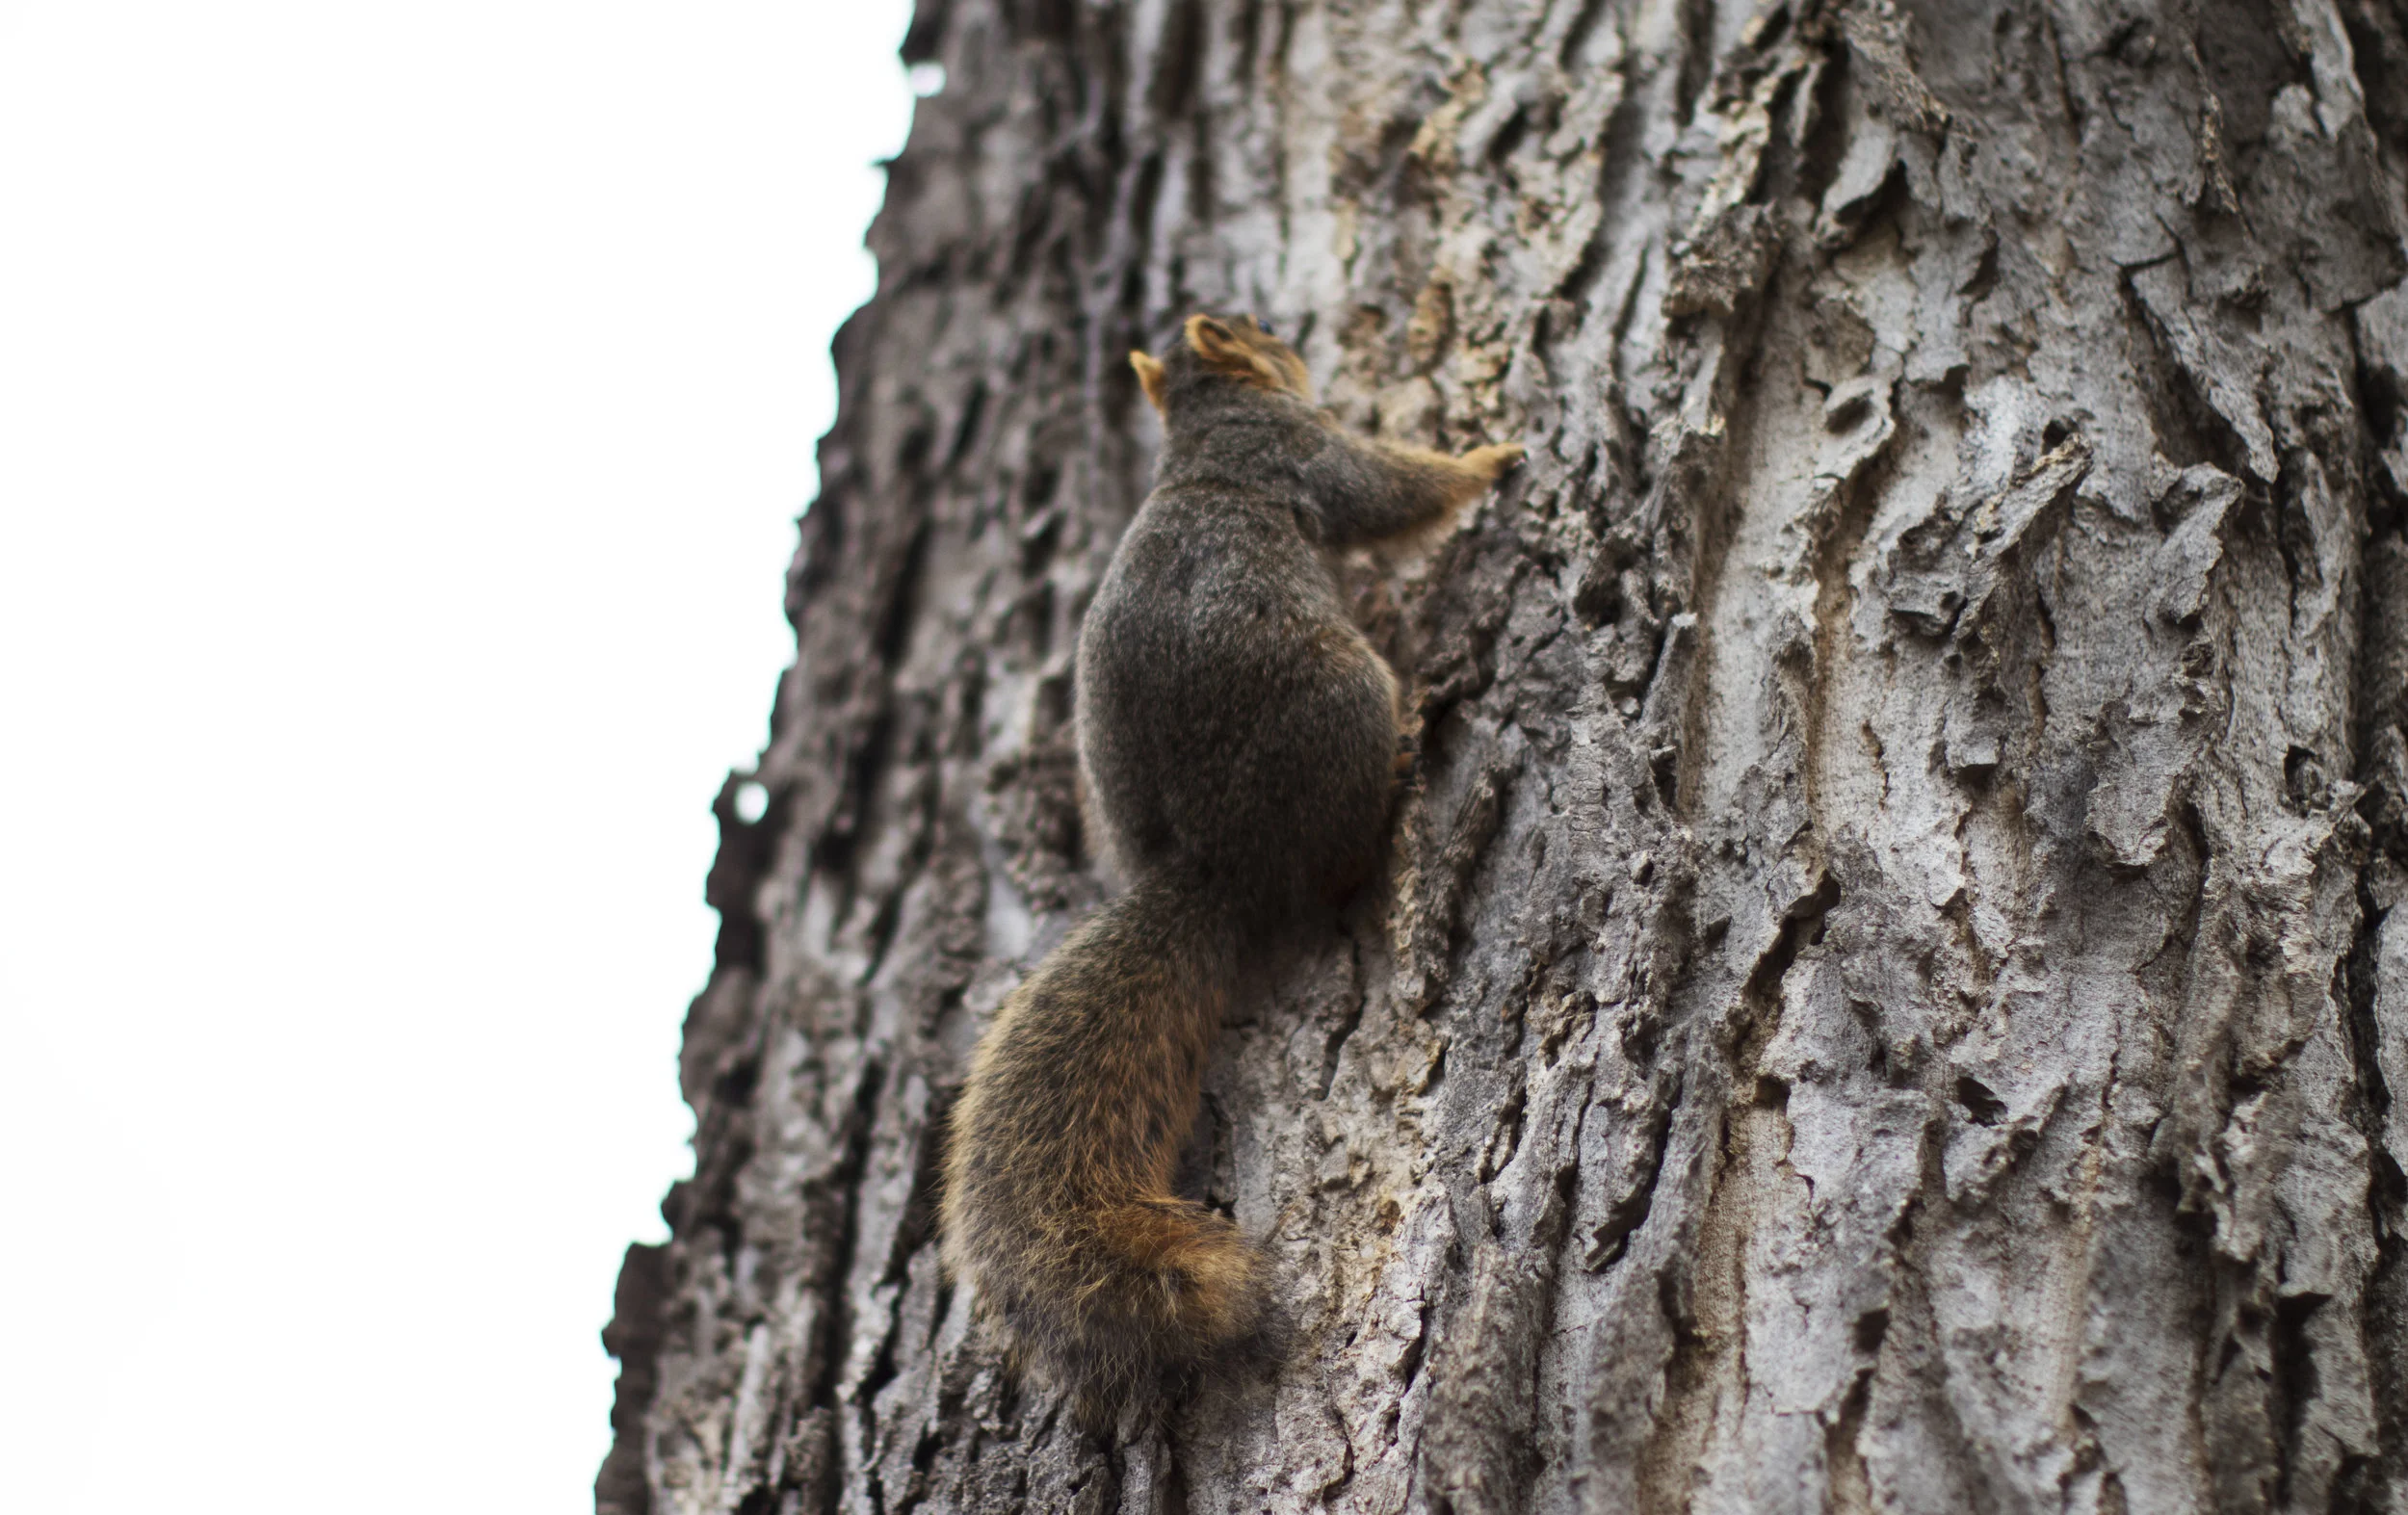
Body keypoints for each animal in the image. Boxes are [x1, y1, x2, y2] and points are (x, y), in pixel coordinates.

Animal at [939, 313, 1523, 1416]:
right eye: (1262, 332)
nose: (1289, 333)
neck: (1203, 432)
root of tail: (1214, 866)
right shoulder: (1306, 451)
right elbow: (1391, 487)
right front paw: (1489, 459)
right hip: (1341, 702)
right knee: (1342, 857)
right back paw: (1407, 747)